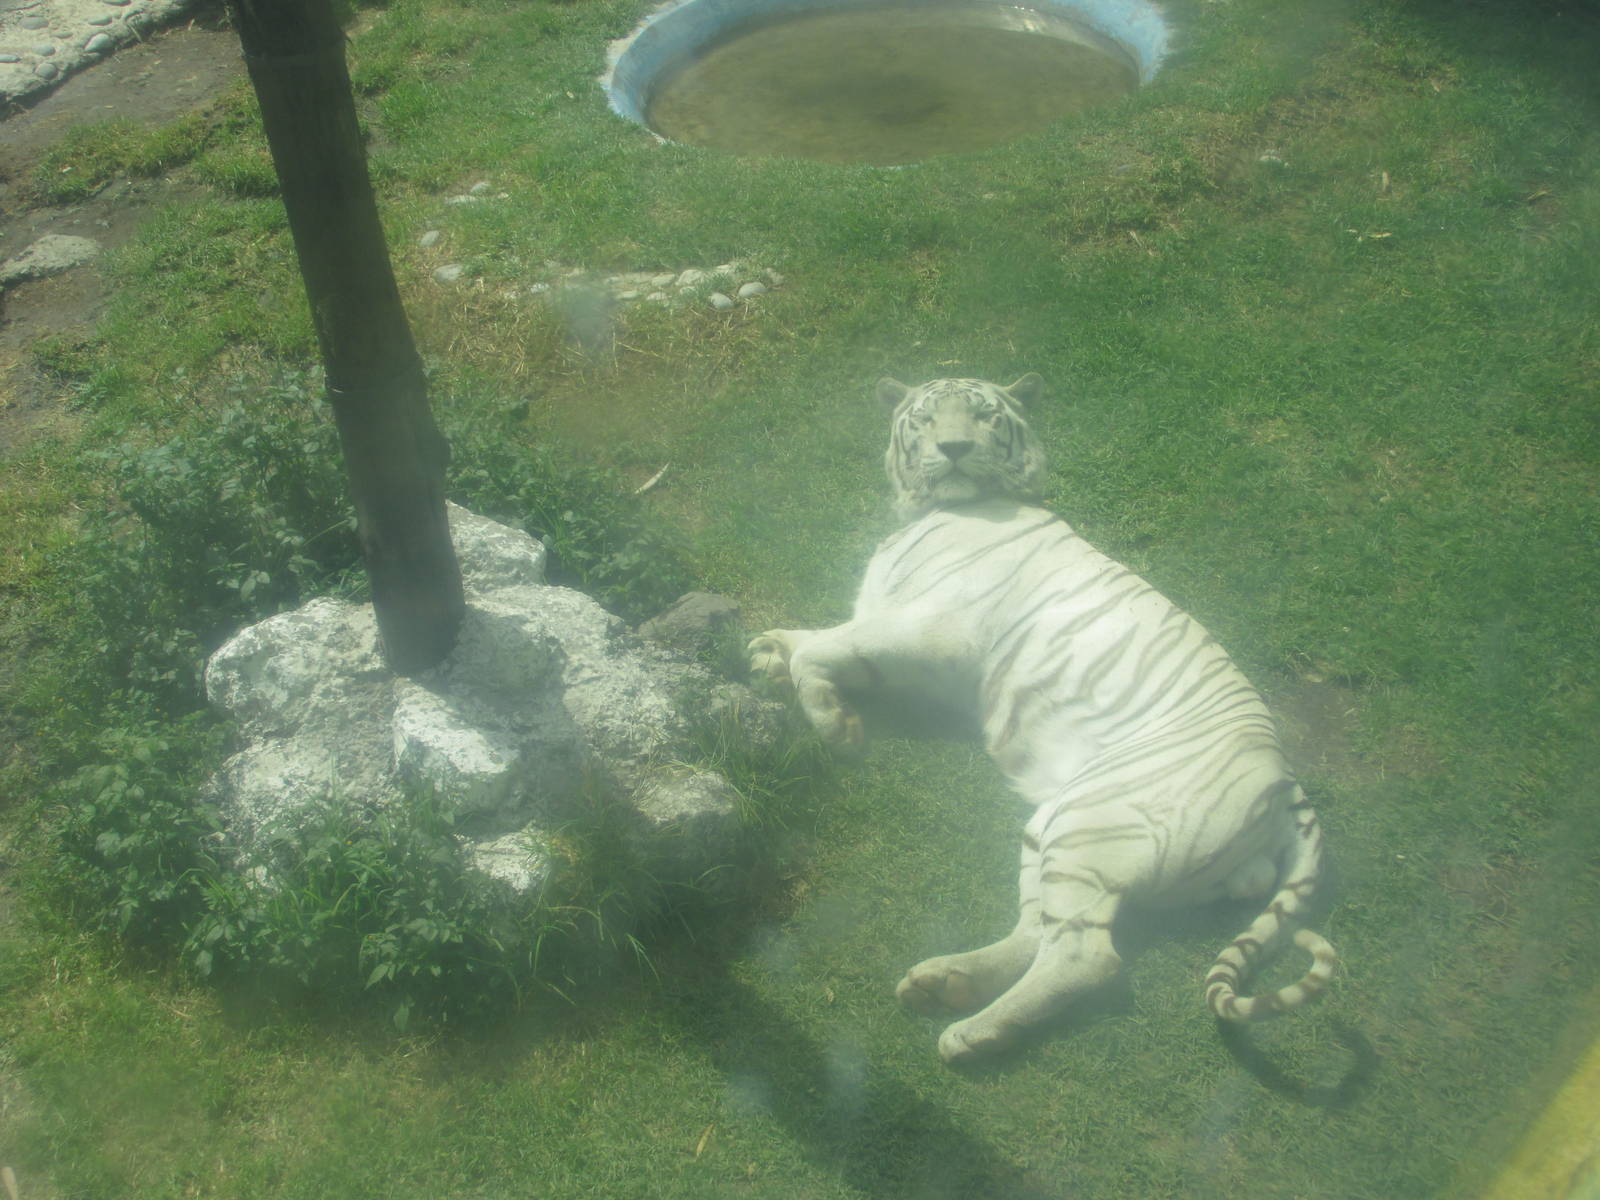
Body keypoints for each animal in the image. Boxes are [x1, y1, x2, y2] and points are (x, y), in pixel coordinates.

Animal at [747, 373, 1337, 1064]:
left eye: (983, 417)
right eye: (927, 419)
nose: (952, 448)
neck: (933, 512)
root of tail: (1287, 783)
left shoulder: (934, 630)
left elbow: (824, 649)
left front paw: (838, 728)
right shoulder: (886, 618)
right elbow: (824, 637)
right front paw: (766, 649)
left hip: (1092, 824)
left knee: (1086, 956)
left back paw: (971, 1034)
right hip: (1055, 827)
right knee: (1038, 931)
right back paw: (947, 983)